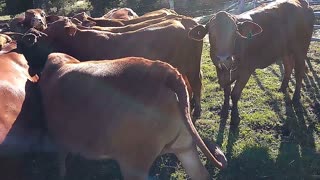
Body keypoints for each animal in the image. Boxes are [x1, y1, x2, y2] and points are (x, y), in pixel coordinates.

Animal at [17, 16, 204, 117]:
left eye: (51, 34)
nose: (31, 68)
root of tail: (182, 21)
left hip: (192, 66)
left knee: (197, 83)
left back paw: (196, 111)